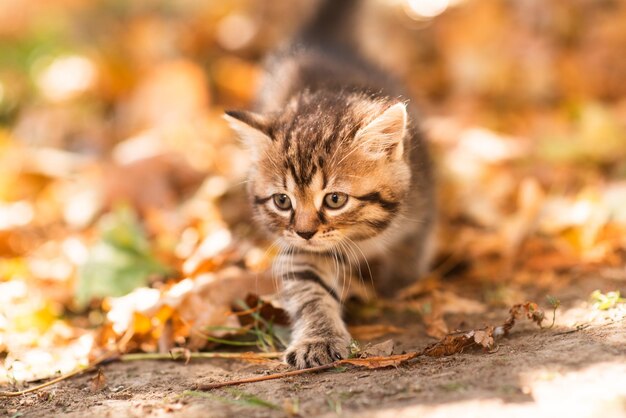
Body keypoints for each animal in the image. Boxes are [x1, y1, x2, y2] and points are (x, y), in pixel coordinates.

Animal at [224, 0, 434, 368]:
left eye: (335, 199)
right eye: (282, 201)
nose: (305, 232)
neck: (365, 238)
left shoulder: (423, 197)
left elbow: (413, 247)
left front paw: (398, 280)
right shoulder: (299, 251)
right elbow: (311, 290)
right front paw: (318, 339)